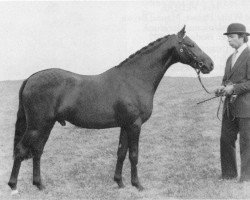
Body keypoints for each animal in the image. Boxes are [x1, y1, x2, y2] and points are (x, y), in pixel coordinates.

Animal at [7, 26, 213, 192]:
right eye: (190, 44)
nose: (210, 64)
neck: (135, 79)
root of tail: (31, 78)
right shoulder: (135, 125)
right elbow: (134, 154)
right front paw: (137, 185)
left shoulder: (125, 125)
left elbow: (121, 153)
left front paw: (119, 182)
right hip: (37, 126)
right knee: (21, 149)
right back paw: (13, 186)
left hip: (45, 125)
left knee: (37, 151)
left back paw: (39, 185)